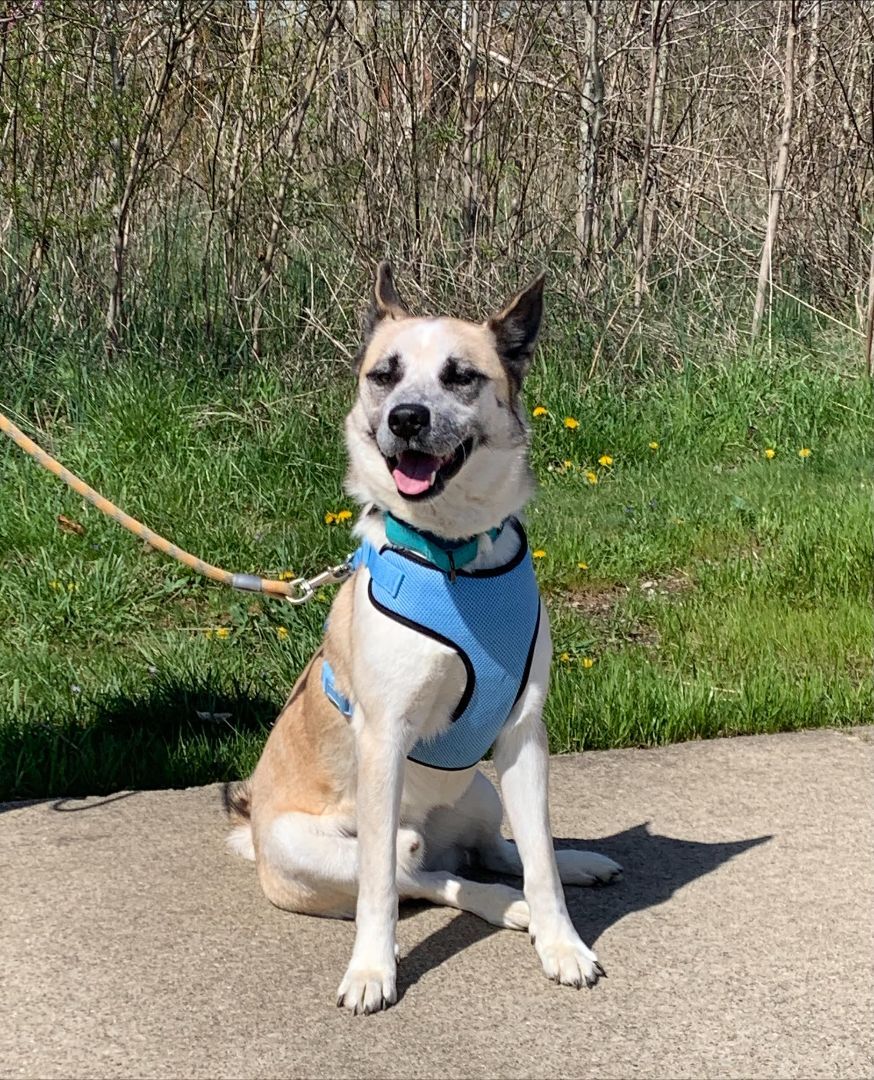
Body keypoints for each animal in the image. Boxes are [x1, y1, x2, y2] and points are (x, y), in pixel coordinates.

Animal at [224, 261, 622, 1010]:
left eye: (460, 375)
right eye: (385, 374)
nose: (406, 418)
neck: (455, 555)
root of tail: (252, 835)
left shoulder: (524, 735)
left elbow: (540, 860)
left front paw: (563, 943)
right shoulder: (384, 741)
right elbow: (380, 889)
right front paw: (372, 970)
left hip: (484, 789)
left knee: (498, 852)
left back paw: (567, 869)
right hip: (310, 846)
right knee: (422, 875)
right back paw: (499, 906)